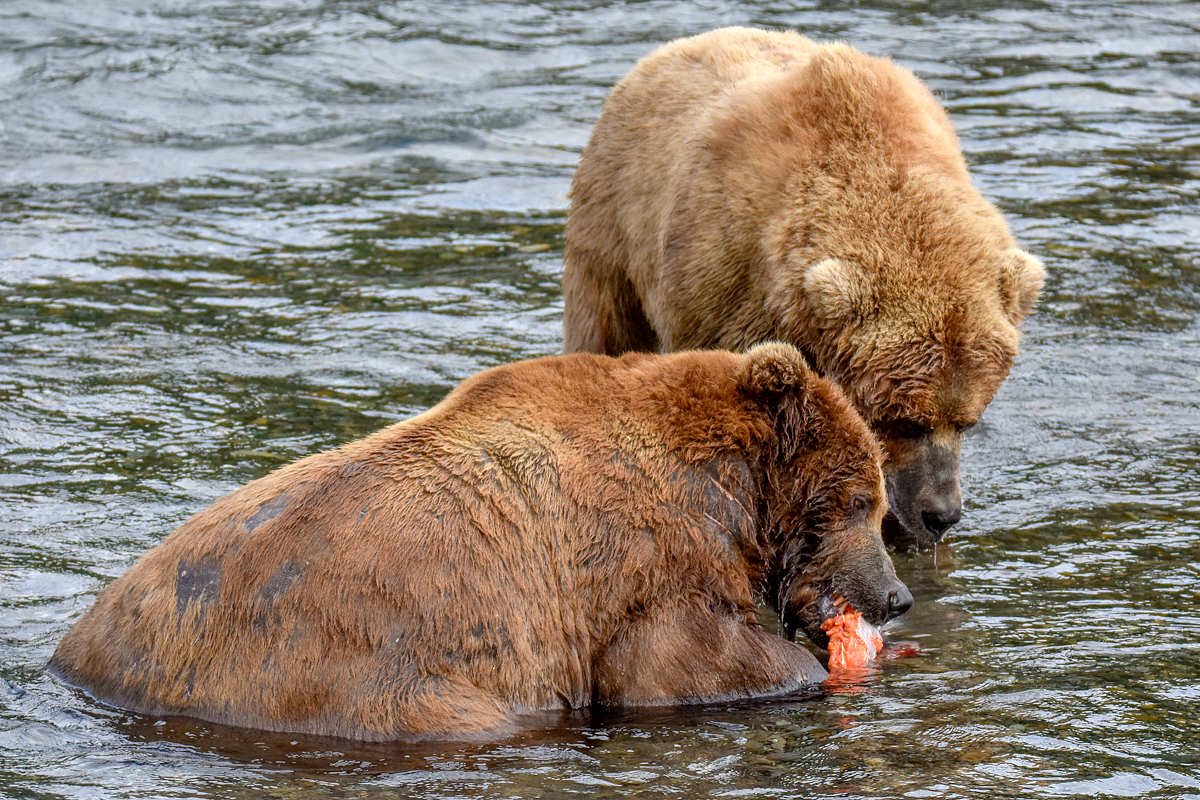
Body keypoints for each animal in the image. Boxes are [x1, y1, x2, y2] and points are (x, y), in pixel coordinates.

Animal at [46, 345, 907, 743]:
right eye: (862, 500)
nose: (895, 595)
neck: (727, 492)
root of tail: (79, 657)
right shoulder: (640, 563)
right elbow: (677, 663)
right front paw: (813, 668)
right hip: (354, 671)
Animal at [561, 26, 1041, 551]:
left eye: (967, 421)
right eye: (906, 421)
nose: (942, 514)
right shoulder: (730, 289)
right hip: (613, 226)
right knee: (605, 329)